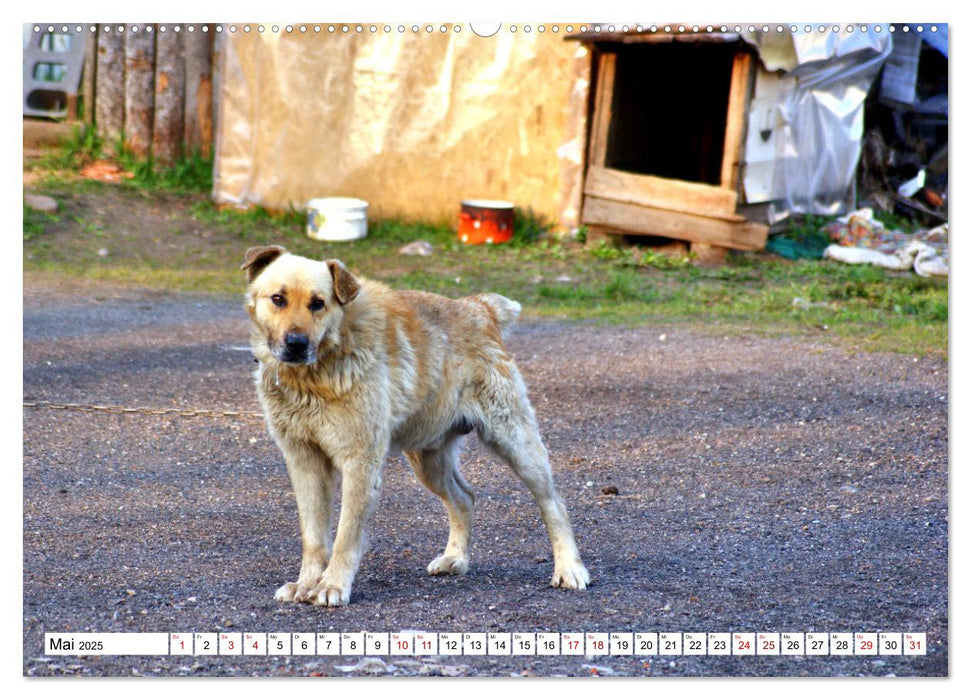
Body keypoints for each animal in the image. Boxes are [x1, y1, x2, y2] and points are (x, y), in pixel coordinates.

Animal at [243, 247, 592, 608]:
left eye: (318, 303)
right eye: (278, 299)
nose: (296, 343)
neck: (315, 374)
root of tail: (478, 307)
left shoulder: (360, 463)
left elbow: (345, 536)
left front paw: (333, 584)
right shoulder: (304, 462)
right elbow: (313, 535)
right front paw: (306, 583)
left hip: (516, 443)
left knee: (554, 503)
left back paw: (569, 568)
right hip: (428, 460)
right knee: (465, 497)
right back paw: (456, 558)